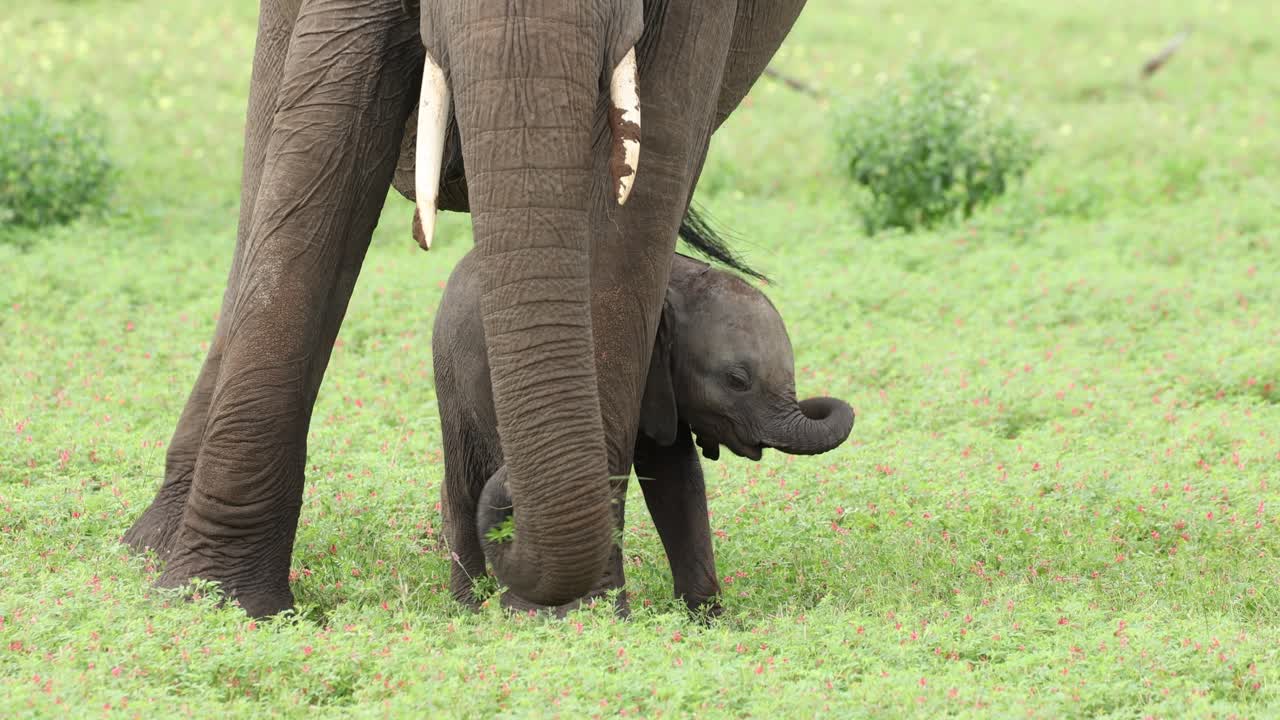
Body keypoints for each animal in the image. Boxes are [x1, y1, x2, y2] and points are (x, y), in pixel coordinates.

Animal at [121, 0, 809, 617]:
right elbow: (320, 128)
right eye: (736, 380)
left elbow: (648, 169)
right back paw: (153, 550)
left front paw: (574, 618)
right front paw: (214, 605)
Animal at [434, 250, 855, 614]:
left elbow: (676, 479)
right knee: (465, 485)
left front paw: (706, 621)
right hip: (451, 375)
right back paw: (469, 609)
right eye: (737, 381)